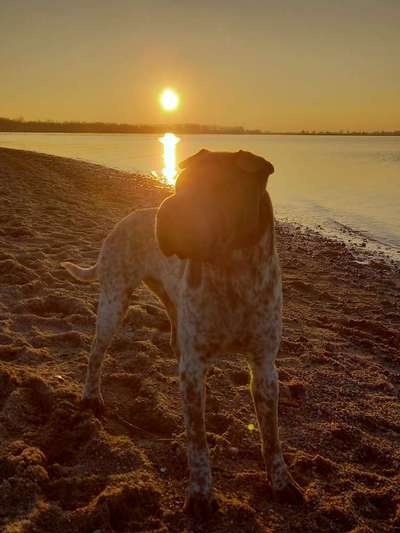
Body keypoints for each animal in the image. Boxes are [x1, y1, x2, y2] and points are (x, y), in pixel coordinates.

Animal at [62, 149, 304, 516]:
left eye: (218, 187)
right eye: (179, 184)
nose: (167, 212)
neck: (233, 274)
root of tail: (125, 219)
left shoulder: (264, 367)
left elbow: (271, 437)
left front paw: (282, 483)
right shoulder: (194, 367)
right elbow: (198, 439)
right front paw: (201, 494)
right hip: (114, 303)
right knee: (95, 354)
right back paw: (91, 398)